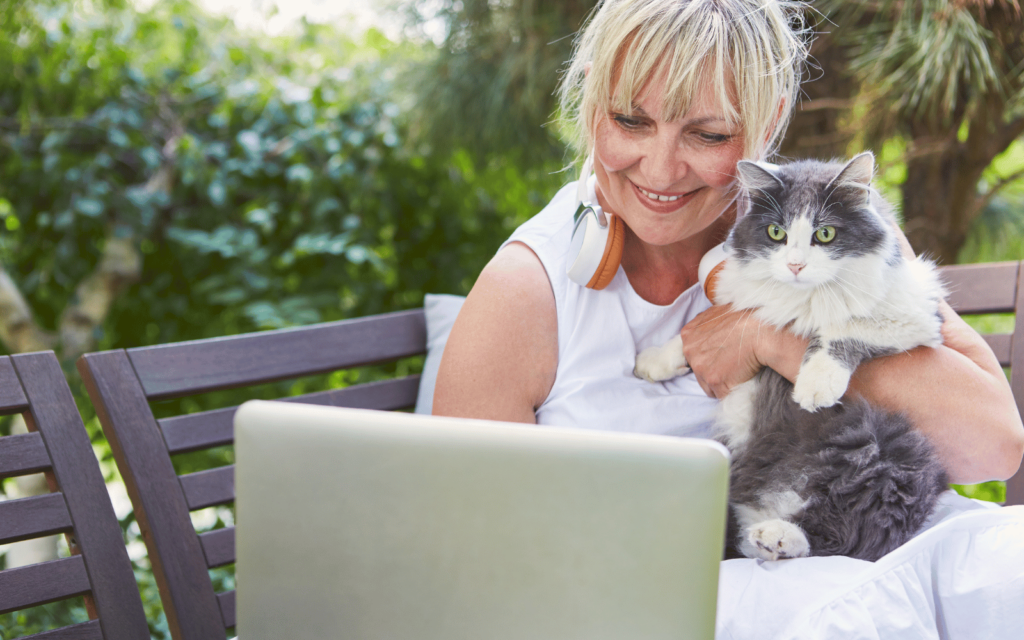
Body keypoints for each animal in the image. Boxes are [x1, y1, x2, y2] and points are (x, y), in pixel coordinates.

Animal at [634, 152, 946, 561]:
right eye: (776, 233)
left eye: (825, 234)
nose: (795, 265)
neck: (798, 299)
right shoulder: (740, 302)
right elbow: (692, 331)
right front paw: (652, 361)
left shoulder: (914, 315)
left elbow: (841, 328)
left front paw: (815, 385)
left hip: (891, 458)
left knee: (843, 535)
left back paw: (777, 538)